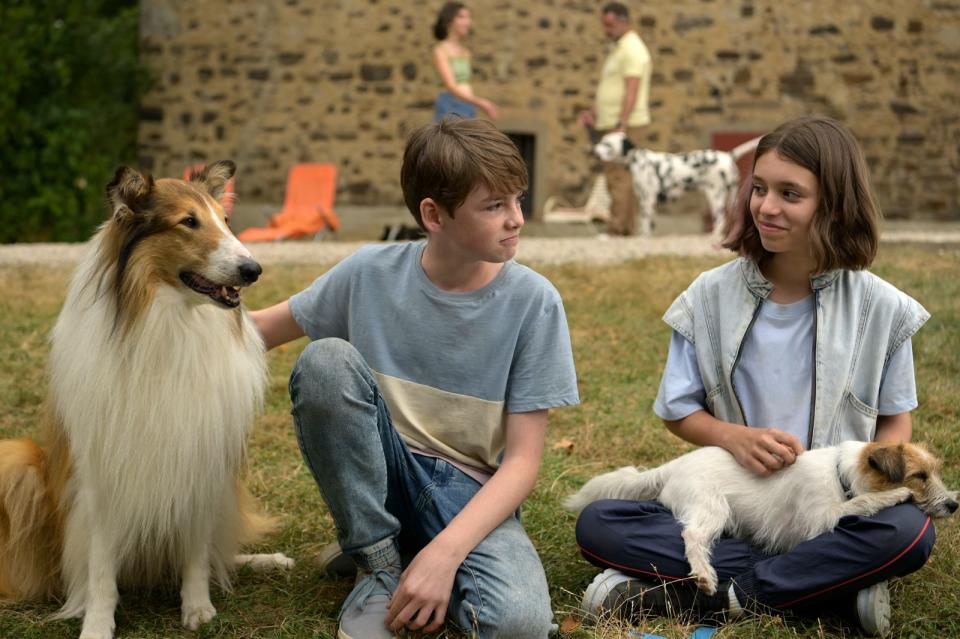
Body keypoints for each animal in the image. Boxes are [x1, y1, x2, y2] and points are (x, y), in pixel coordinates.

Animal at [0, 164, 292, 639]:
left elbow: (197, 552)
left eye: (226, 222)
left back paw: (264, 561)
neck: (167, 321)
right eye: (188, 222)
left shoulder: (201, 464)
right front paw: (97, 624)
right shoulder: (102, 475)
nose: (253, 270)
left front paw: (198, 608)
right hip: (19, 465)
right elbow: (101, 568)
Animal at [568, 442, 956, 596]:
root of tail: (673, 466)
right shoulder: (824, 517)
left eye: (935, 472)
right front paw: (897, 496)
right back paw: (705, 576)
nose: (953, 504)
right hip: (713, 508)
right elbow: (866, 501)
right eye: (919, 476)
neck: (840, 474)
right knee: (692, 537)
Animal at [592, 131, 756, 238]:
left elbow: (645, 225)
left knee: (720, 220)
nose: (593, 151)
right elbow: (651, 226)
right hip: (731, 197)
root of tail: (728, 156)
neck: (639, 161)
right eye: (601, 140)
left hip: (715, 196)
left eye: (607, 144)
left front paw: (643, 238)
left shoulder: (647, 201)